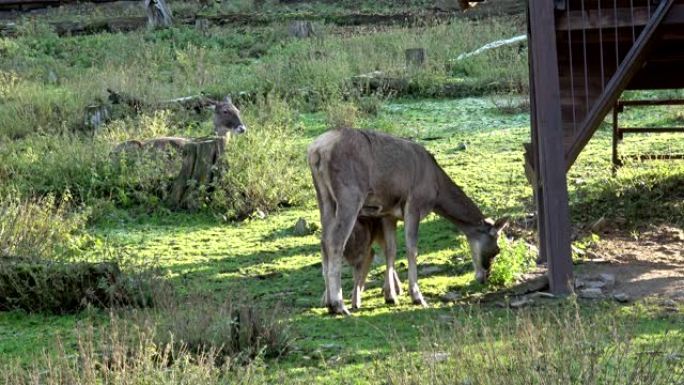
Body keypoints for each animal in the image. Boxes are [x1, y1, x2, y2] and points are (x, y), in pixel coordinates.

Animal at [310, 127, 508, 314]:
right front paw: (417, 296)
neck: (436, 192)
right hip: (350, 194)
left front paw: (391, 296)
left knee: (324, 241)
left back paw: (329, 303)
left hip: (324, 198)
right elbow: (412, 249)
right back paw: (338, 305)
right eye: (496, 249)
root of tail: (316, 151)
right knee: (336, 242)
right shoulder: (414, 204)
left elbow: (391, 250)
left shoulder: (388, 214)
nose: (484, 277)